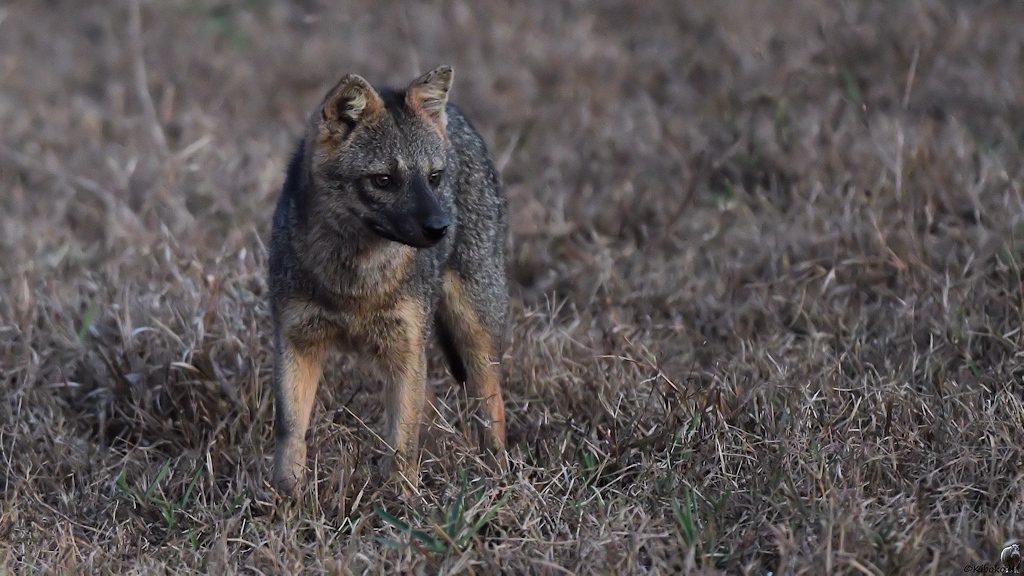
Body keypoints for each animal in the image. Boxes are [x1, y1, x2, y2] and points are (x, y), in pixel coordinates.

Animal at [267, 65, 509, 495]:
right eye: (383, 180)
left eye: (434, 178)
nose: (440, 228)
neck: (355, 284)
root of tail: (457, 113)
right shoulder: (296, 340)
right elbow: (291, 429)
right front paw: (286, 496)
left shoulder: (406, 347)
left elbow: (402, 438)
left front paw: (401, 497)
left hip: (475, 331)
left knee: (490, 402)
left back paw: (497, 470)